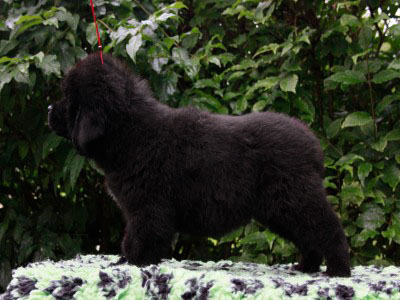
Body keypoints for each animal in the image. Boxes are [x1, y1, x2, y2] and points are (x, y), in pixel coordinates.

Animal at [49, 53, 350, 276]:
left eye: (68, 99)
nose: (50, 110)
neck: (131, 132)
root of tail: (313, 144)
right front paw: (128, 262)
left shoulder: (148, 207)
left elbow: (138, 238)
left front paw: (130, 262)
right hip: (280, 209)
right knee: (308, 236)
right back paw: (306, 267)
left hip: (294, 198)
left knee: (328, 229)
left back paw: (338, 270)